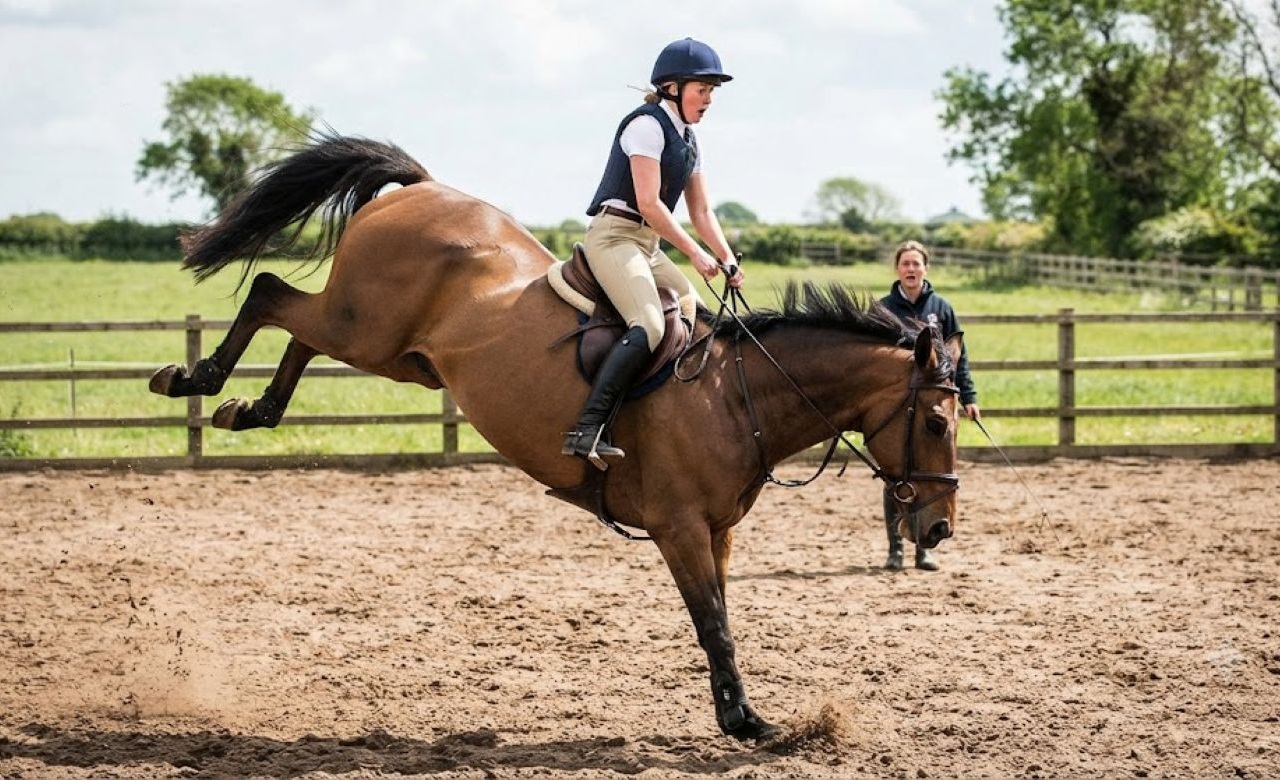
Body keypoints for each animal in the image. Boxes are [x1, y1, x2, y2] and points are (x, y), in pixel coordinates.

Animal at [150, 134, 962, 741]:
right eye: (934, 422)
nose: (940, 528)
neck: (737, 395)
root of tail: (422, 188)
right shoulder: (679, 527)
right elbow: (712, 623)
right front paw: (746, 722)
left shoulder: (717, 532)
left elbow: (723, 619)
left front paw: (739, 713)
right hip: (366, 326)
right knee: (271, 296)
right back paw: (196, 380)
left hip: (392, 351)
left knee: (298, 331)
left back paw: (249, 409)